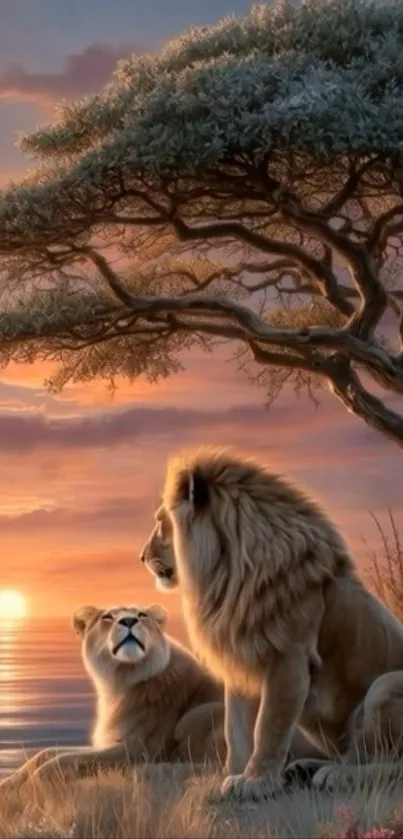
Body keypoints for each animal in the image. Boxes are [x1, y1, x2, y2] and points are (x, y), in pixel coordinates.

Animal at [0, 602, 226, 795]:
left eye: (141, 615)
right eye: (107, 617)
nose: (129, 621)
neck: (120, 681)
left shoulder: (138, 748)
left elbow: (66, 759)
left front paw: (34, 783)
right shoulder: (109, 741)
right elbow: (45, 753)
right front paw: (9, 784)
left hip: (193, 716)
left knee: (215, 767)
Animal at [140, 446, 403, 801]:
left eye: (160, 523)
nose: (141, 556)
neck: (227, 573)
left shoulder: (289, 659)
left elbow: (269, 726)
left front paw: (257, 781)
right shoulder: (239, 657)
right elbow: (236, 730)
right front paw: (229, 778)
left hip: (384, 686)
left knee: (387, 764)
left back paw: (336, 775)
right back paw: (303, 769)